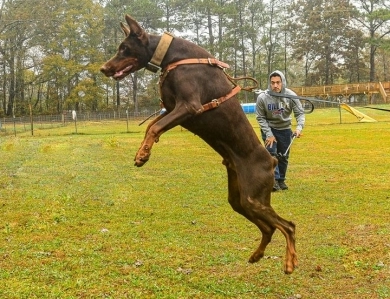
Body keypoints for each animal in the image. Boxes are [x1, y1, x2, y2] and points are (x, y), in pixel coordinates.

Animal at [100, 15, 298, 276]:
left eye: (124, 48)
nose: (103, 68)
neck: (172, 56)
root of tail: (272, 159)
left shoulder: (189, 106)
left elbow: (154, 127)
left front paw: (142, 155)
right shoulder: (172, 107)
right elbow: (151, 125)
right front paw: (144, 149)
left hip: (254, 197)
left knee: (288, 226)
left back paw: (290, 261)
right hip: (240, 200)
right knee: (269, 228)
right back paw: (256, 255)